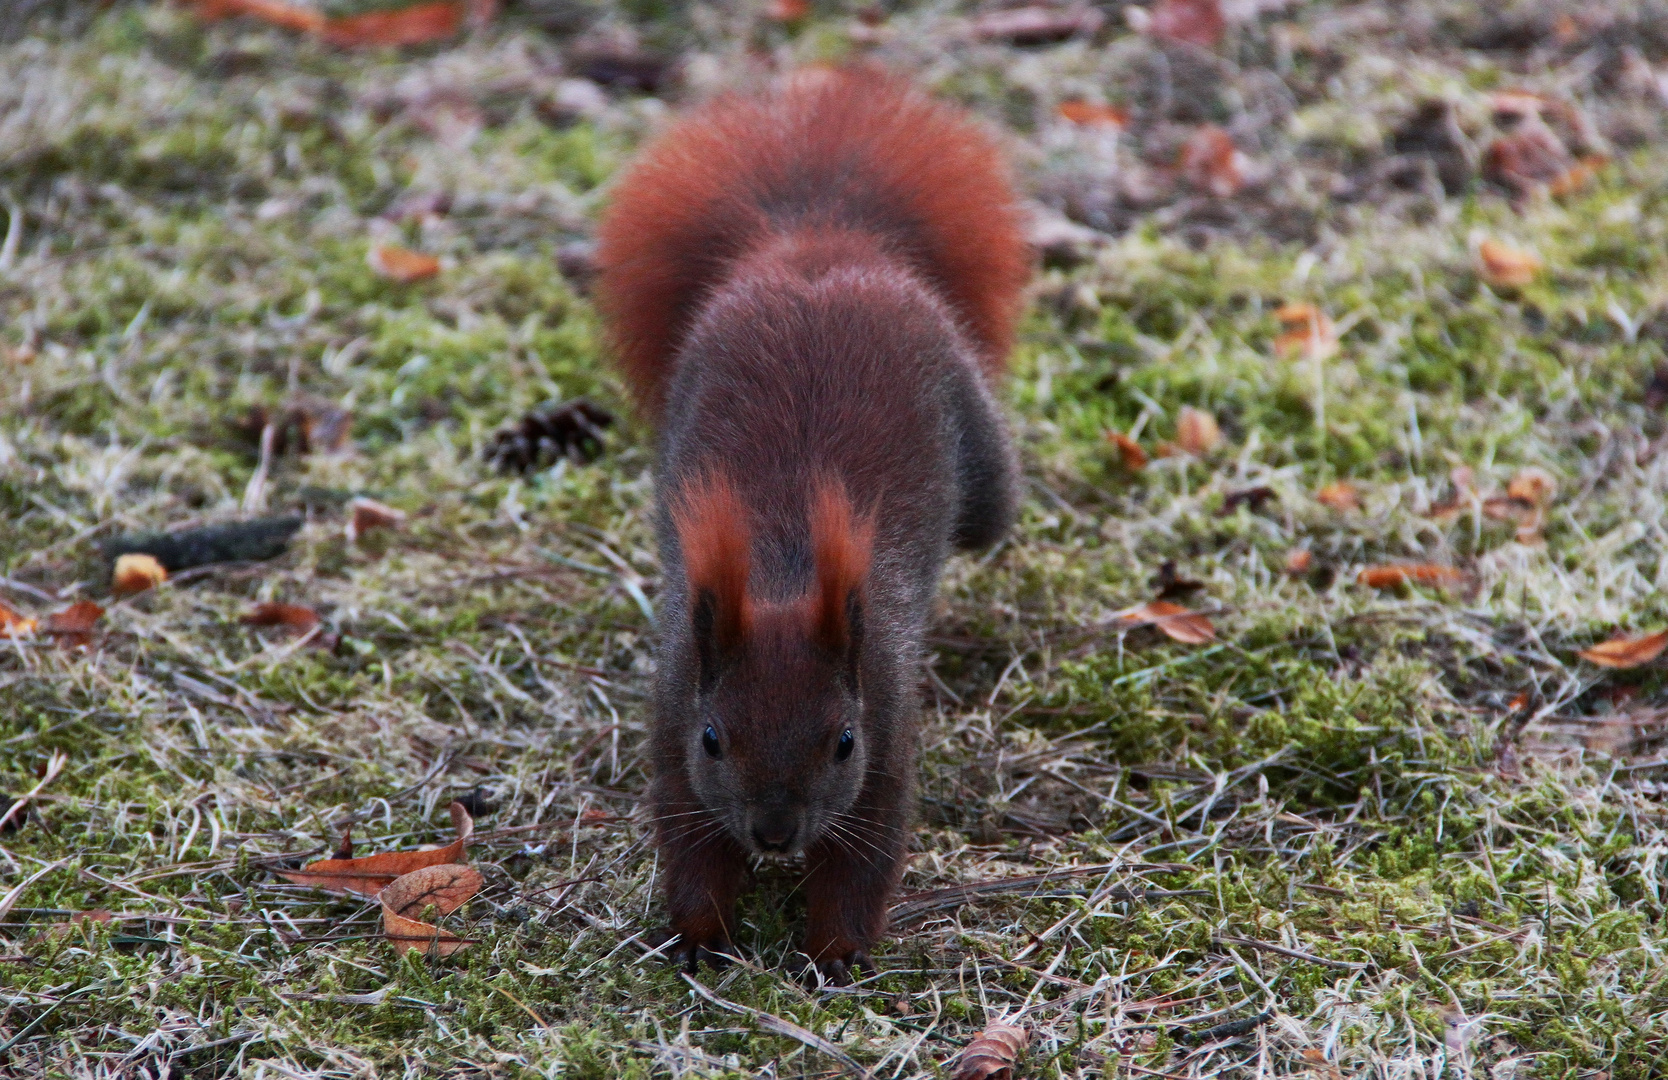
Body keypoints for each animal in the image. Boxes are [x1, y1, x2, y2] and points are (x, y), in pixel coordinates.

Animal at [593, 63, 1020, 981]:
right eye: (713, 739)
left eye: (844, 743)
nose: (775, 832)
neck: (781, 579)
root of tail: (819, 243)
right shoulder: (673, 716)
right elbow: (690, 847)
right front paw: (703, 937)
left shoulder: (887, 731)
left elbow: (864, 863)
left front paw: (831, 954)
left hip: (981, 455)